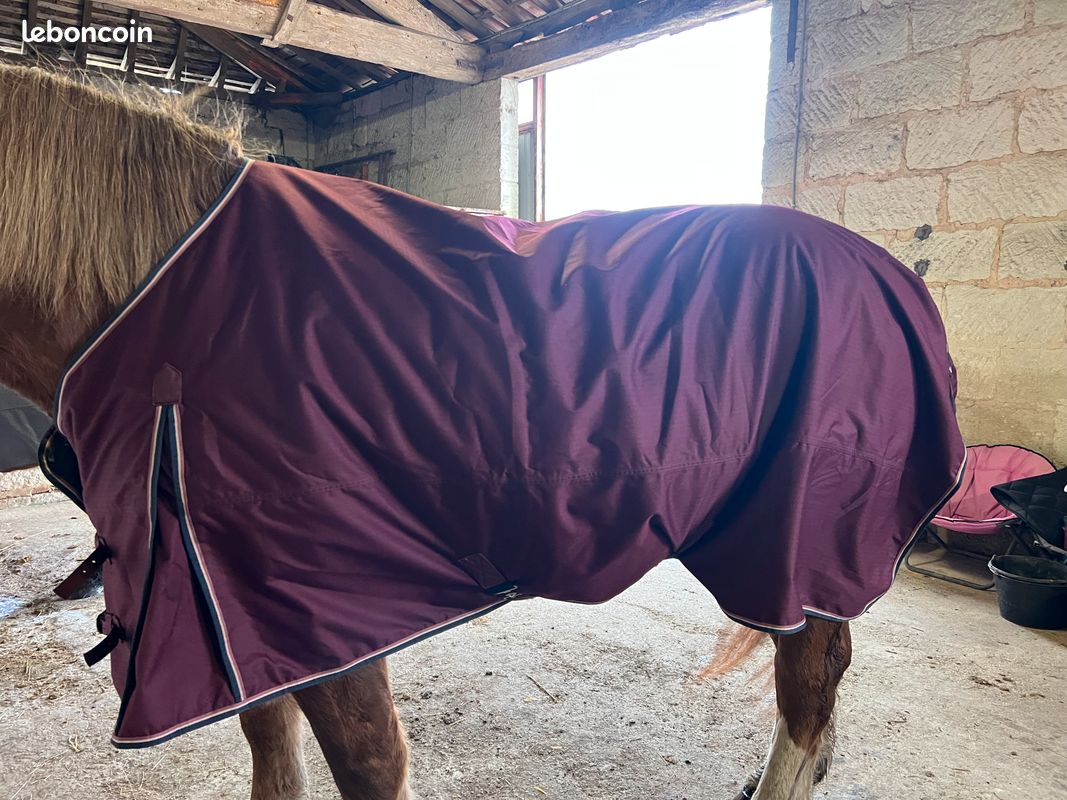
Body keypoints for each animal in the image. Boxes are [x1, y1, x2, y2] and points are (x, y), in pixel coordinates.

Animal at [0, 63, 964, 800]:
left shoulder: (325, 608)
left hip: (796, 544)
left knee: (809, 690)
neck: (172, 306)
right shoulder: (235, 615)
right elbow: (271, 753)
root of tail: (892, 275)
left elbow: (369, 766)